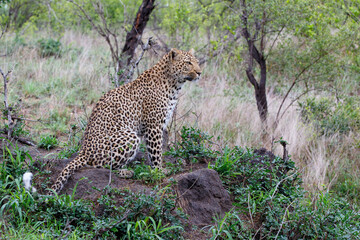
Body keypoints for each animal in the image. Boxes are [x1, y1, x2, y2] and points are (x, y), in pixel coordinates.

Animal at [48, 48, 201, 193]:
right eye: (188, 63)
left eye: (197, 62)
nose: (199, 73)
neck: (174, 84)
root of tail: (84, 151)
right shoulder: (154, 126)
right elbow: (156, 152)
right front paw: (159, 171)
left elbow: (154, 152)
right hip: (130, 136)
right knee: (102, 165)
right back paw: (126, 172)